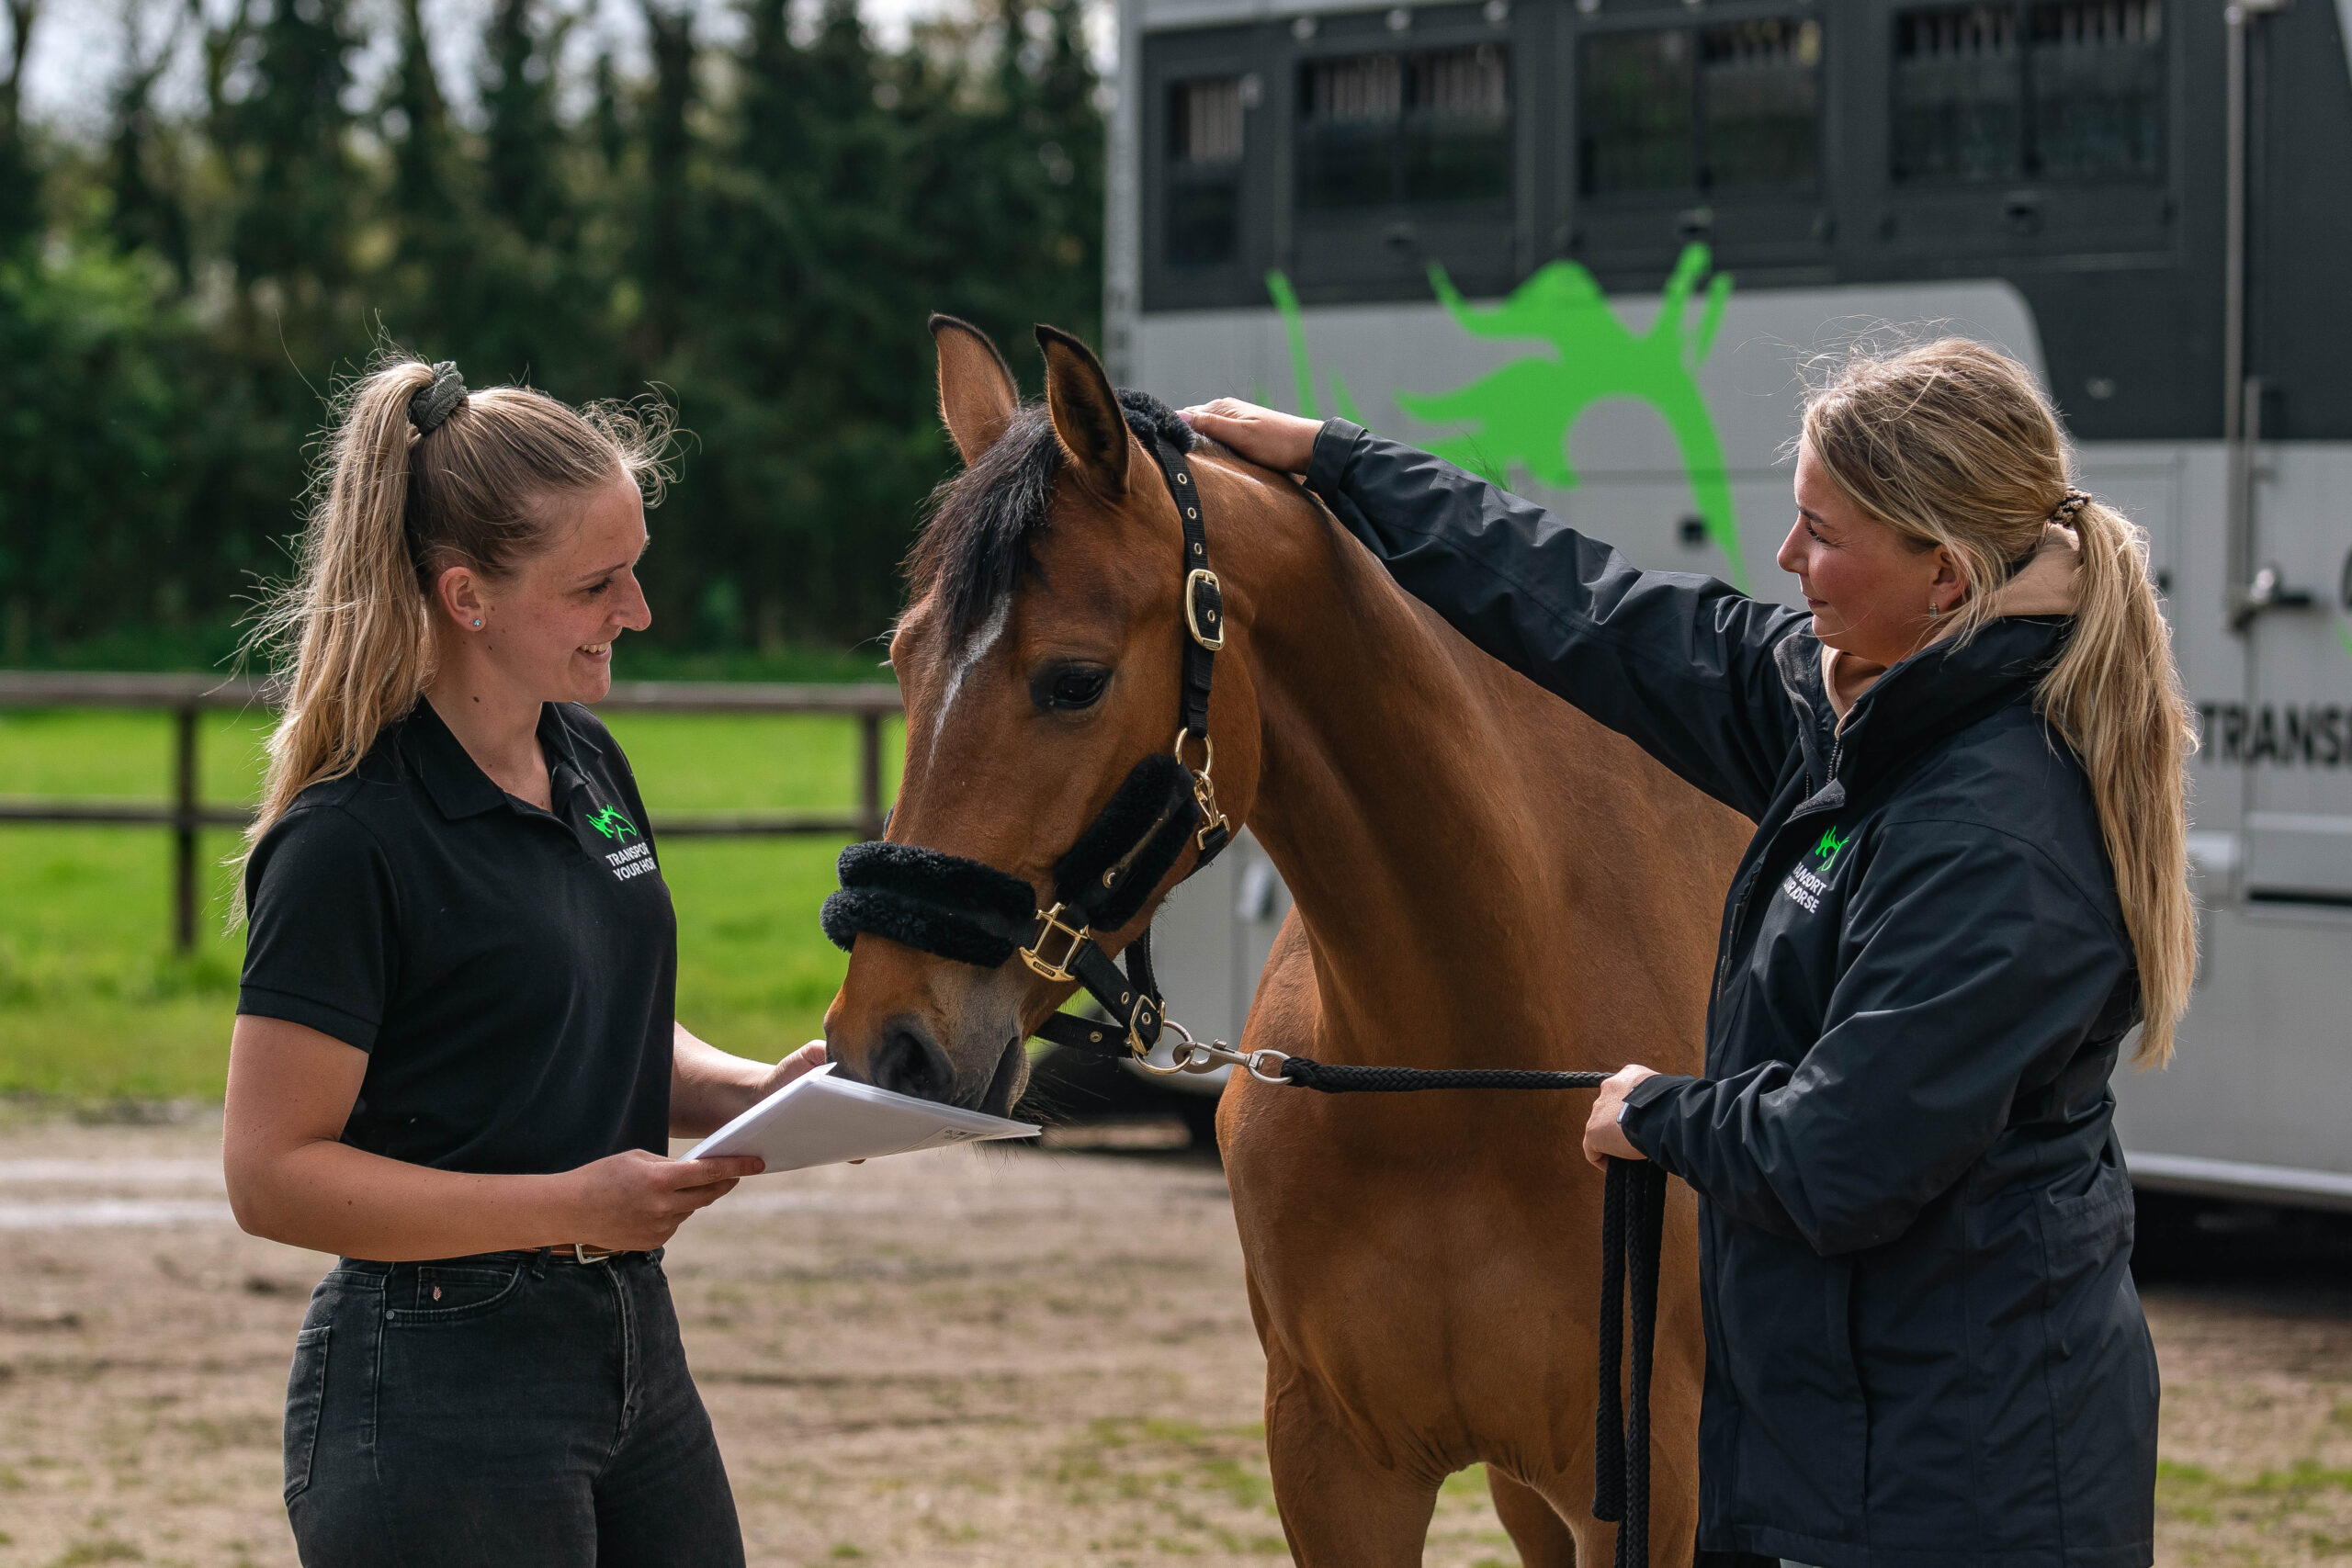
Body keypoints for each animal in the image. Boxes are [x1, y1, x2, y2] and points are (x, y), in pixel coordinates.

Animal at [818, 320, 1758, 1568]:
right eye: (905, 659)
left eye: (1074, 680)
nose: (888, 1039)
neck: (1457, 1078)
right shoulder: (1338, 1468)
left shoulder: (1648, 1488)